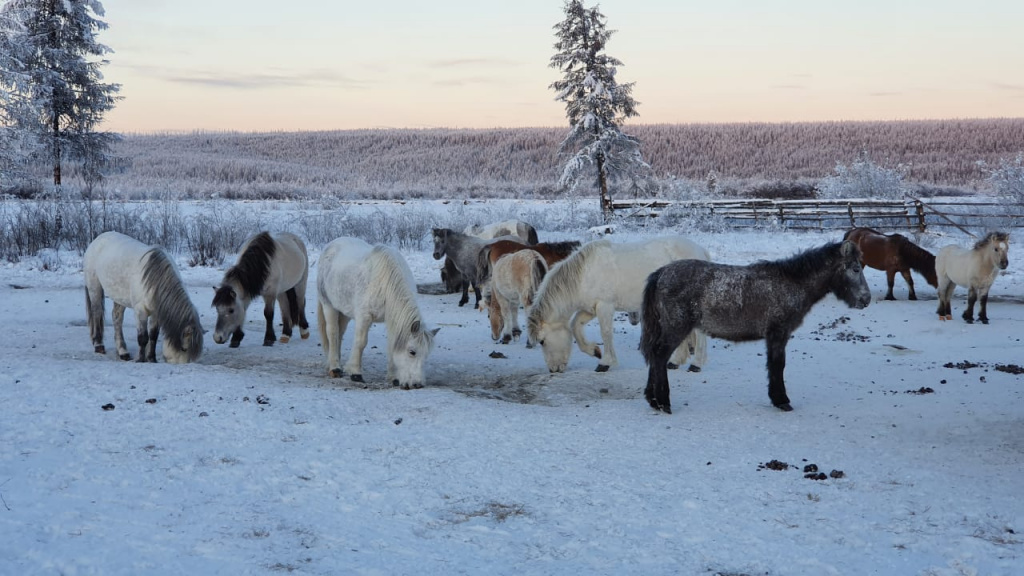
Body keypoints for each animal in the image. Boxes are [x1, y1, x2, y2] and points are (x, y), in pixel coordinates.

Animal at [84, 229, 204, 360]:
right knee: (97, 313)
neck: (154, 281)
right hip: (94, 288)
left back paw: (122, 351)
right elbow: (143, 338)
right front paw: (141, 359)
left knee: (117, 318)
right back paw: (99, 345)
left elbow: (153, 336)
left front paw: (151, 358)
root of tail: (98, 239)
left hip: (119, 297)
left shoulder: (156, 313)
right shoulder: (140, 311)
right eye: (183, 349)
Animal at [313, 235, 438, 387]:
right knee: (332, 333)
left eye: (426, 354)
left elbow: (391, 346)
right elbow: (360, 343)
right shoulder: (364, 317)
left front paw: (393, 377)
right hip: (328, 305)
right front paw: (355, 372)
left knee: (339, 333)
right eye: (412, 352)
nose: (417, 384)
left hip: (343, 311)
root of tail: (331, 245)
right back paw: (335, 367)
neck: (385, 283)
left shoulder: (391, 319)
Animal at [524, 234, 708, 373]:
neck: (584, 274)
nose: (553, 369)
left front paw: (605, 362)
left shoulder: (604, 306)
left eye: (542, 341)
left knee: (699, 333)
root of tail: (701, 251)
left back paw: (696, 364)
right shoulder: (590, 309)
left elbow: (606, 333)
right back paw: (676, 361)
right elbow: (575, 326)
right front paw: (594, 351)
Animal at [638, 238, 872, 412]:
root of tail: (661, 273)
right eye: (855, 269)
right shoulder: (778, 334)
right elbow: (778, 365)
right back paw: (663, 402)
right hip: (675, 328)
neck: (791, 284)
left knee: (655, 356)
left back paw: (652, 400)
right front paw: (782, 400)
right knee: (659, 356)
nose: (866, 299)